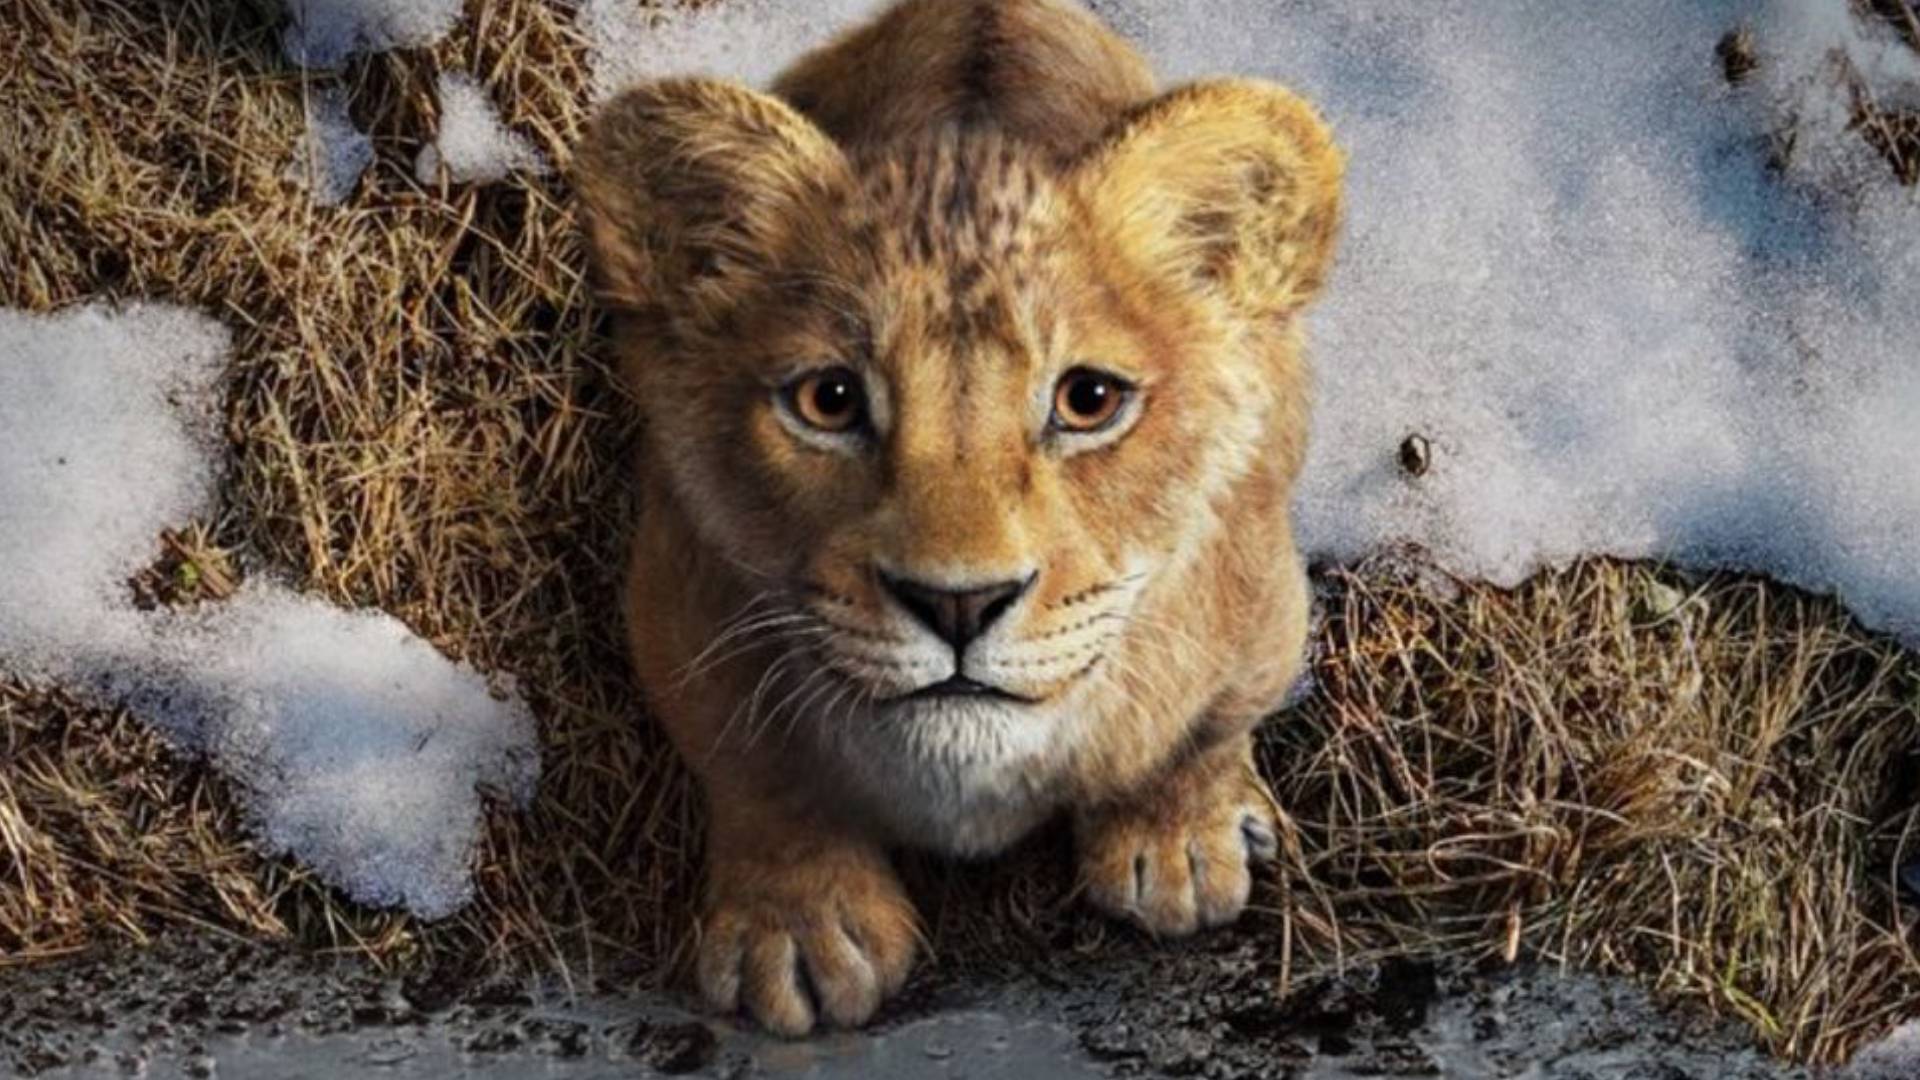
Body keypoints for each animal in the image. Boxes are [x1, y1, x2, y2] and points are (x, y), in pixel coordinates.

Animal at [575, 0, 1343, 1036]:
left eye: (1089, 399)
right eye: (828, 400)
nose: (958, 605)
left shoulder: (1261, 600)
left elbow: (1203, 727)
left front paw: (1180, 842)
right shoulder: (676, 597)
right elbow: (756, 770)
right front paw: (801, 930)